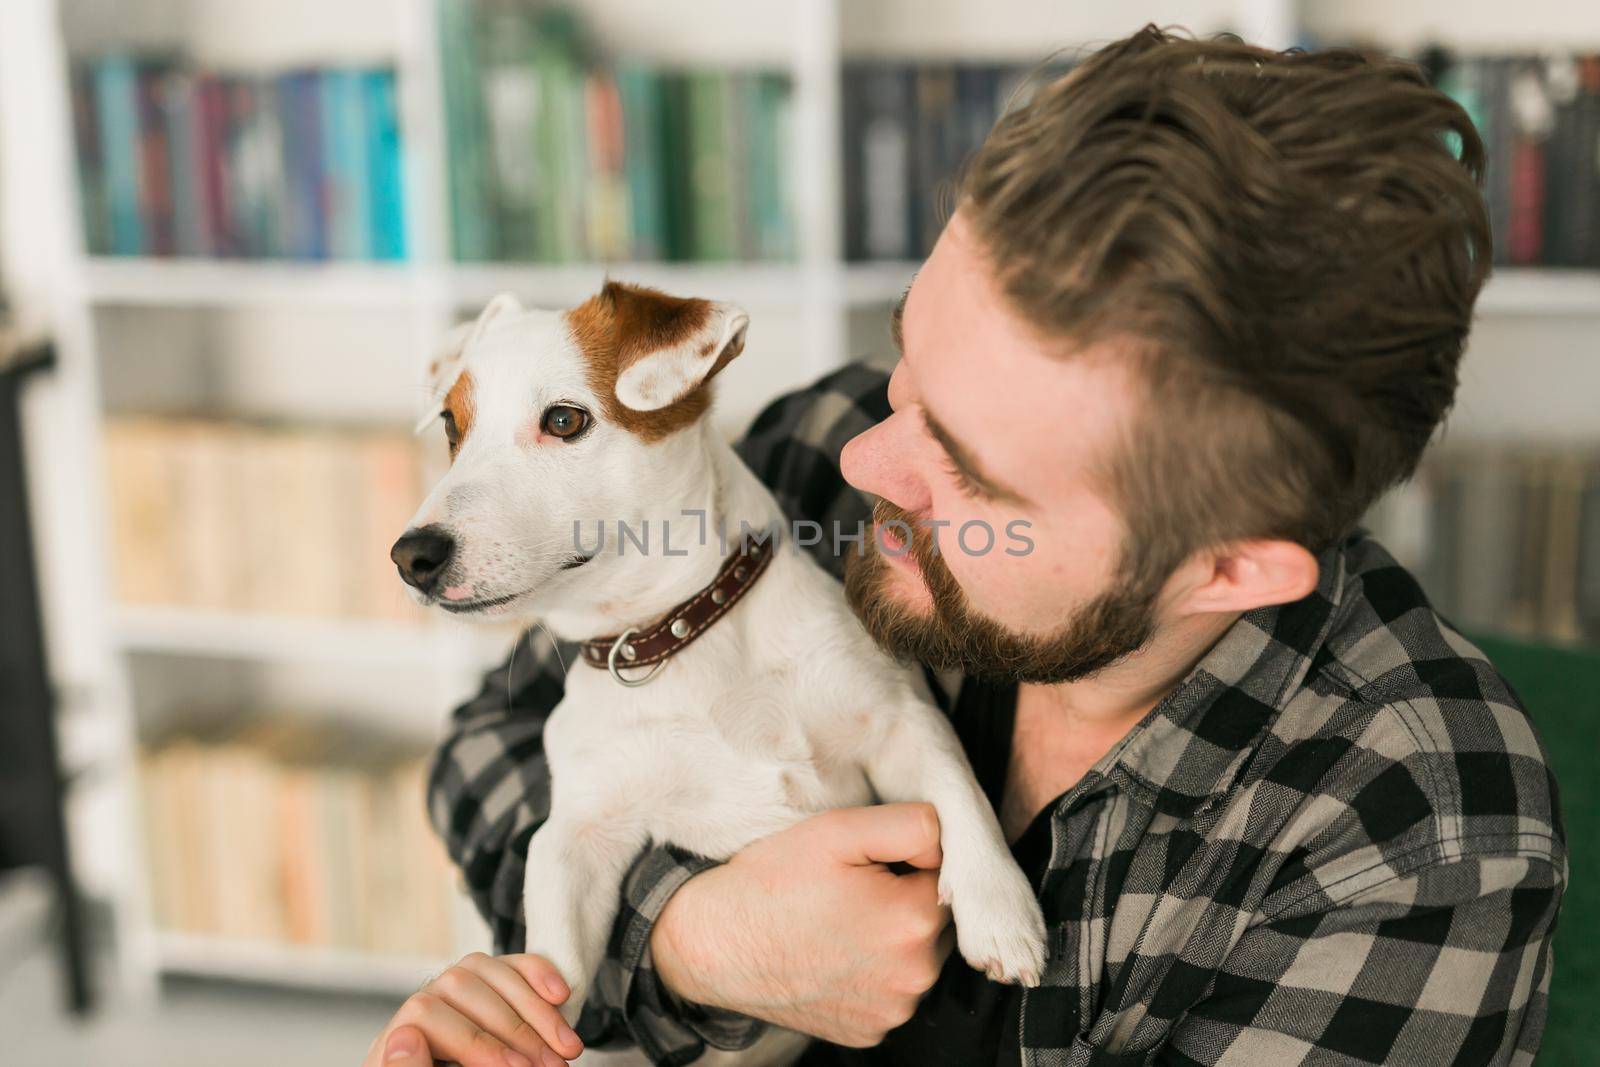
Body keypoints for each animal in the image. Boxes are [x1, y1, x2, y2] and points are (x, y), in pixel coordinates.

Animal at [395, 279, 1049, 1062]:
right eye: (450, 426)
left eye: (564, 419)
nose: (412, 555)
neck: (678, 635)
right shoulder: (579, 832)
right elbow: (556, 955)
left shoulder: (899, 721)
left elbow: (961, 791)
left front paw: (1000, 908)